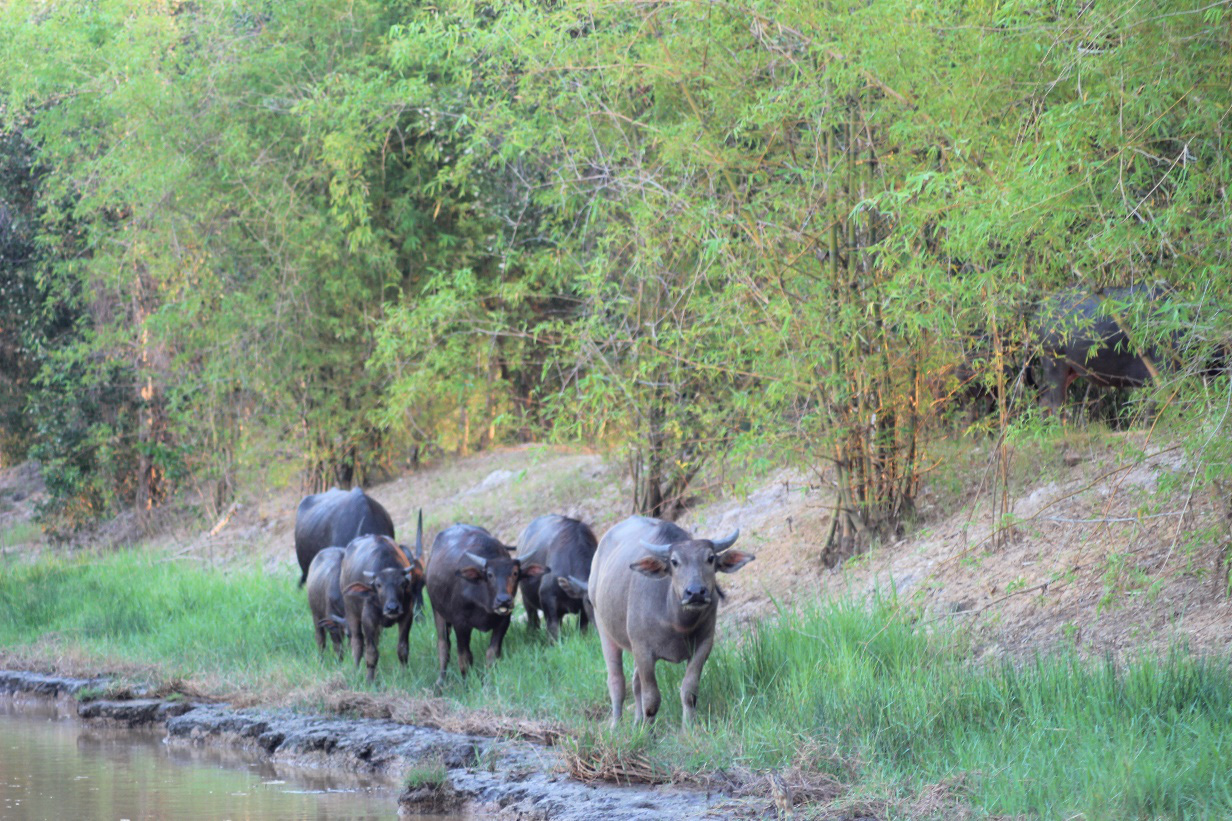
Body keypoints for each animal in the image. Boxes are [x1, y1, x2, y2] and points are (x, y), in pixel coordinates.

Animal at [340, 512, 426, 675]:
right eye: (378, 585)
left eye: (403, 584)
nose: (392, 608)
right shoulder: (368, 618)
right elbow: (371, 652)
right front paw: (369, 678)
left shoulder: (406, 616)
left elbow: (402, 648)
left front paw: (404, 673)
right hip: (351, 612)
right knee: (357, 641)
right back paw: (356, 669)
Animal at [431, 525, 551, 685]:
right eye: (489, 574)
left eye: (515, 573)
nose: (503, 600)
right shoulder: (460, 624)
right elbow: (464, 657)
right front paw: (467, 684)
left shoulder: (503, 621)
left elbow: (492, 654)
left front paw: (488, 681)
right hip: (437, 611)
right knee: (443, 645)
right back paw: (440, 681)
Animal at [517, 512, 598, 641]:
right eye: (590, 601)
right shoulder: (548, 601)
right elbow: (553, 632)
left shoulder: (583, 611)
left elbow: (582, 629)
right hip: (526, 598)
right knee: (532, 618)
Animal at [586, 515, 749, 724]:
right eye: (674, 561)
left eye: (710, 558)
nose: (695, 592)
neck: (677, 622)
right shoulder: (643, 650)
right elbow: (651, 699)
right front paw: (648, 730)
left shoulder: (704, 645)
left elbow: (689, 691)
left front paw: (689, 726)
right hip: (604, 629)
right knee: (616, 680)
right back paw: (616, 724)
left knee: (635, 682)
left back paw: (637, 721)